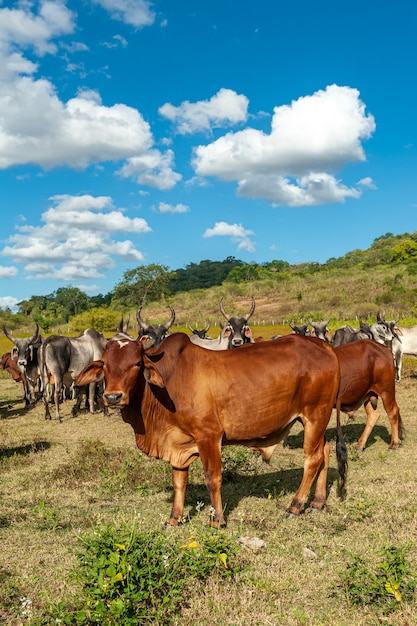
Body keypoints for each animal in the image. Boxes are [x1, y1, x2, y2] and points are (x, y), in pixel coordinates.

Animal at [76, 332, 346, 528]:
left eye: (136, 363)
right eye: (105, 365)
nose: (112, 397)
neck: (169, 383)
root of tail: (324, 346)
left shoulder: (209, 436)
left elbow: (212, 478)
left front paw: (217, 519)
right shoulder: (178, 443)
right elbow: (179, 482)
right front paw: (174, 519)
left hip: (315, 414)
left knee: (312, 459)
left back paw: (295, 506)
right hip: (315, 420)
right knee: (325, 451)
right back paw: (317, 502)